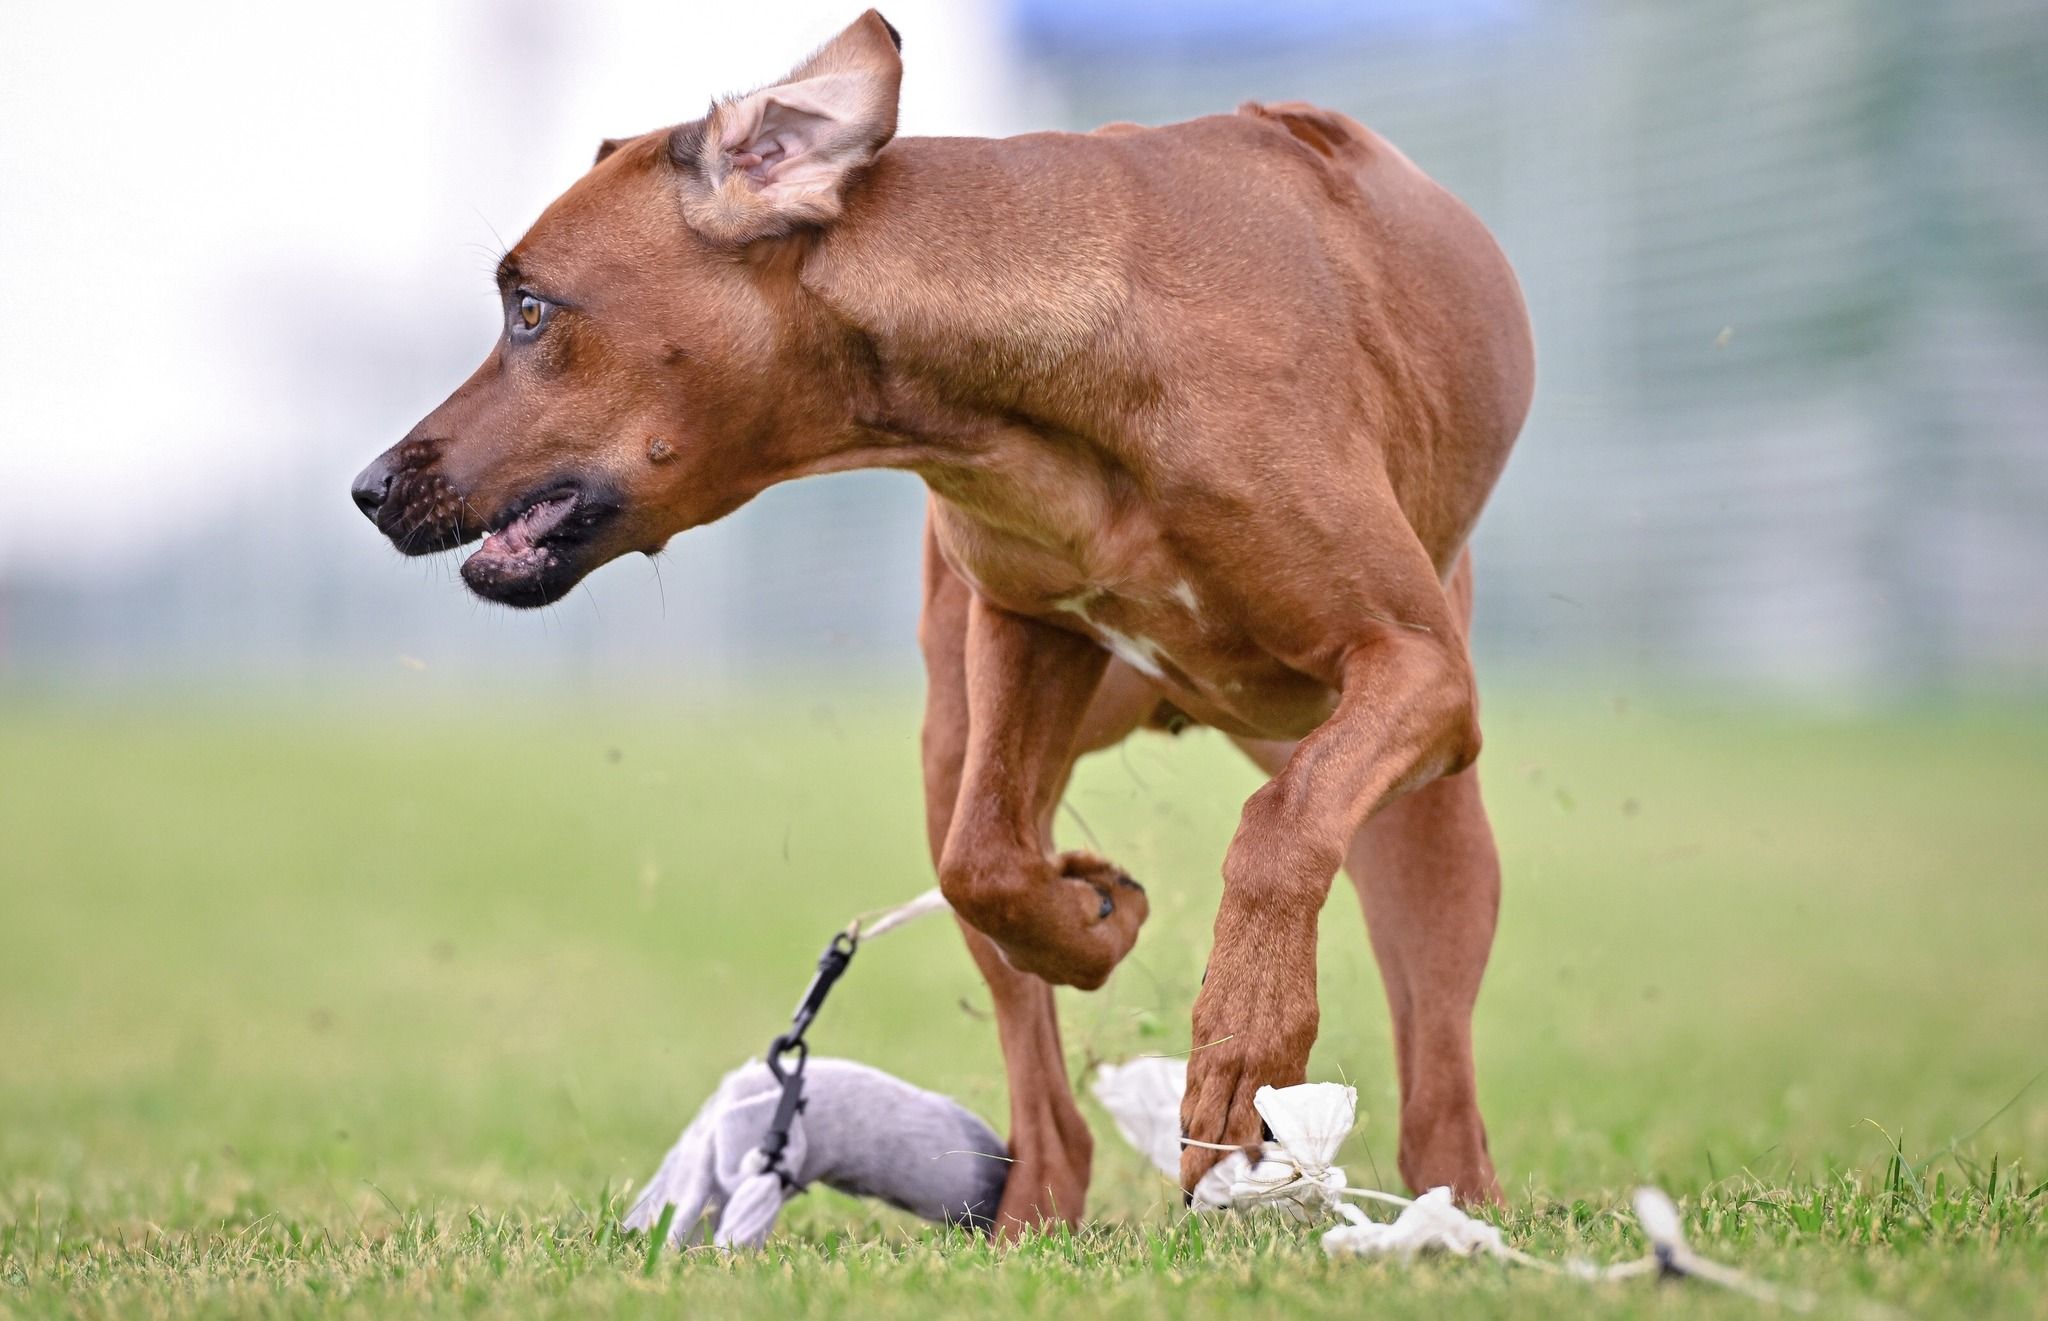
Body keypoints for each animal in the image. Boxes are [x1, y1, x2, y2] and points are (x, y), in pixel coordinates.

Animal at [356, 10, 1540, 1228]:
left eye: (531, 308)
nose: (371, 486)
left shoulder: (1419, 669)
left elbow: (1279, 823)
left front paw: (1243, 1043)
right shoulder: (1020, 629)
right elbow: (988, 858)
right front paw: (1095, 918)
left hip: (1427, 817)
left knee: (1435, 1073)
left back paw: (1453, 1204)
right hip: (958, 736)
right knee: (1045, 1091)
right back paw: (1029, 1214)